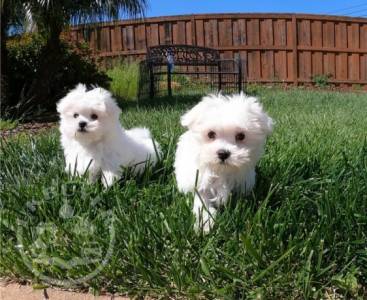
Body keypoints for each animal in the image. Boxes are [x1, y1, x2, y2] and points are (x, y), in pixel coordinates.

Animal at [175, 94, 274, 232]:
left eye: (241, 136)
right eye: (211, 134)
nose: (223, 153)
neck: (221, 171)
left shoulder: (242, 184)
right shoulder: (200, 183)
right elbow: (202, 203)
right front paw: (204, 223)